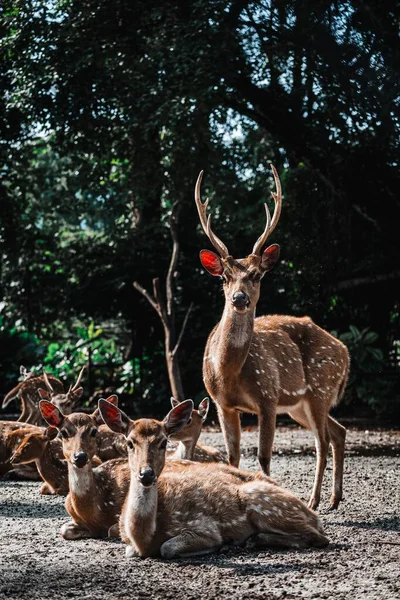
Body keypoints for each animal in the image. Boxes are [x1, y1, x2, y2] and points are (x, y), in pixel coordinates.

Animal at [99, 398, 328, 556]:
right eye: (129, 442)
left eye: (164, 442)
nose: (146, 474)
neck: (144, 537)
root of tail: (312, 514)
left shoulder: (204, 527)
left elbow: (168, 547)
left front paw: (222, 544)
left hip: (262, 501)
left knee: (318, 537)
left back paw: (249, 540)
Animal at [195, 165, 348, 510]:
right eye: (224, 277)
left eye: (256, 275)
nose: (239, 298)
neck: (228, 372)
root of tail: (345, 351)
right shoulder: (222, 403)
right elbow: (233, 456)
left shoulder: (267, 396)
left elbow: (264, 456)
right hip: (298, 405)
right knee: (340, 431)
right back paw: (334, 499)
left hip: (319, 388)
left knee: (322, 440)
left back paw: (314, 500)